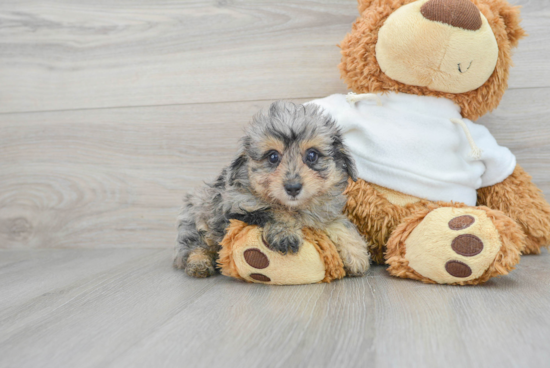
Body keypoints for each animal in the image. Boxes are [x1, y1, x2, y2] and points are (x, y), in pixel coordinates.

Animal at [175, 100, 374, 278]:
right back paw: (199, 264)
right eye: (272, 157)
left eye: (312, 155)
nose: (293, 187)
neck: (296, 207)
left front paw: (356, 254)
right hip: (198, 218)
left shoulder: (324, 212)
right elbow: (274, 210)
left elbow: (341, 223)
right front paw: (286, 233)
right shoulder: (238, 207)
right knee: (195, 246)